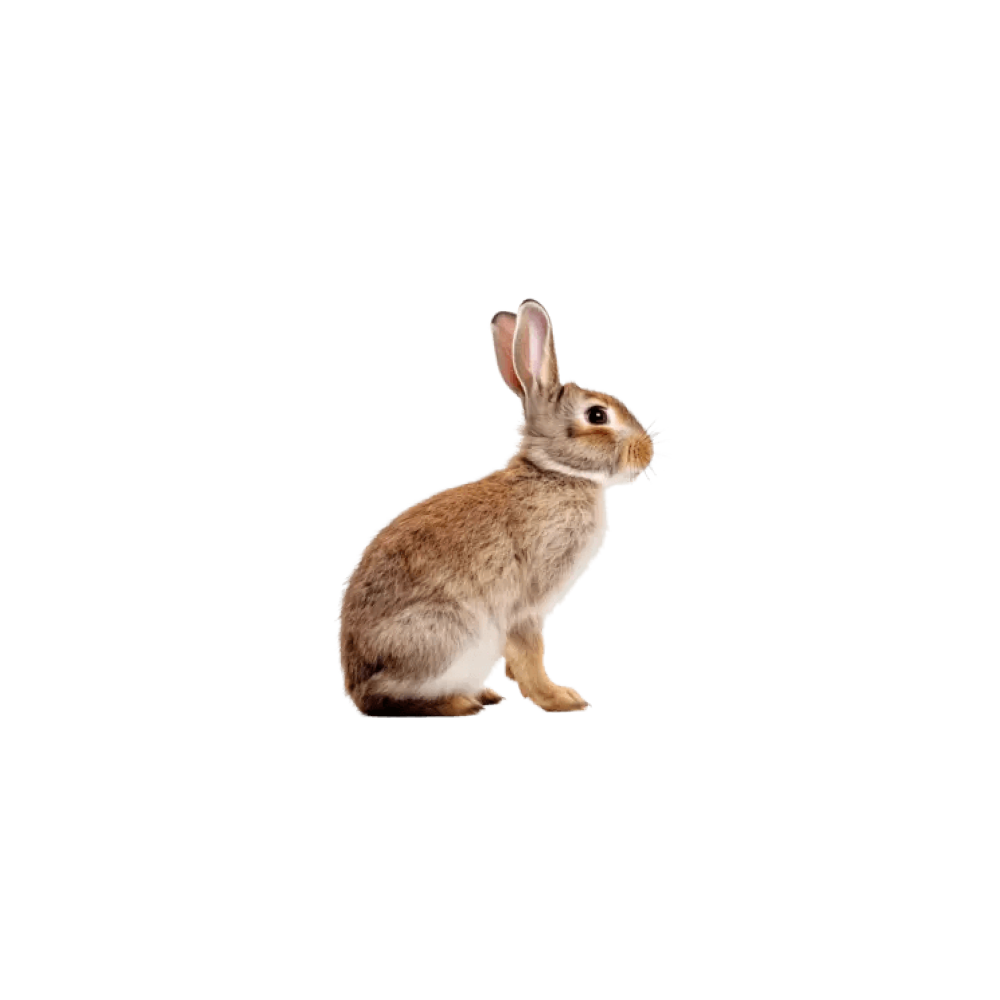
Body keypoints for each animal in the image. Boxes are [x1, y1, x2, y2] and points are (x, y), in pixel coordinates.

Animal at [340, 299, 653, 716]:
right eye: (597, 415)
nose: (648, 452)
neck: (556, 472)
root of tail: (353, 684)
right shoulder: (526, 604)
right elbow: (531, 651)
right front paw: (560, 698)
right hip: (448, 634)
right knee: (387, 698)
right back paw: (460, 703)